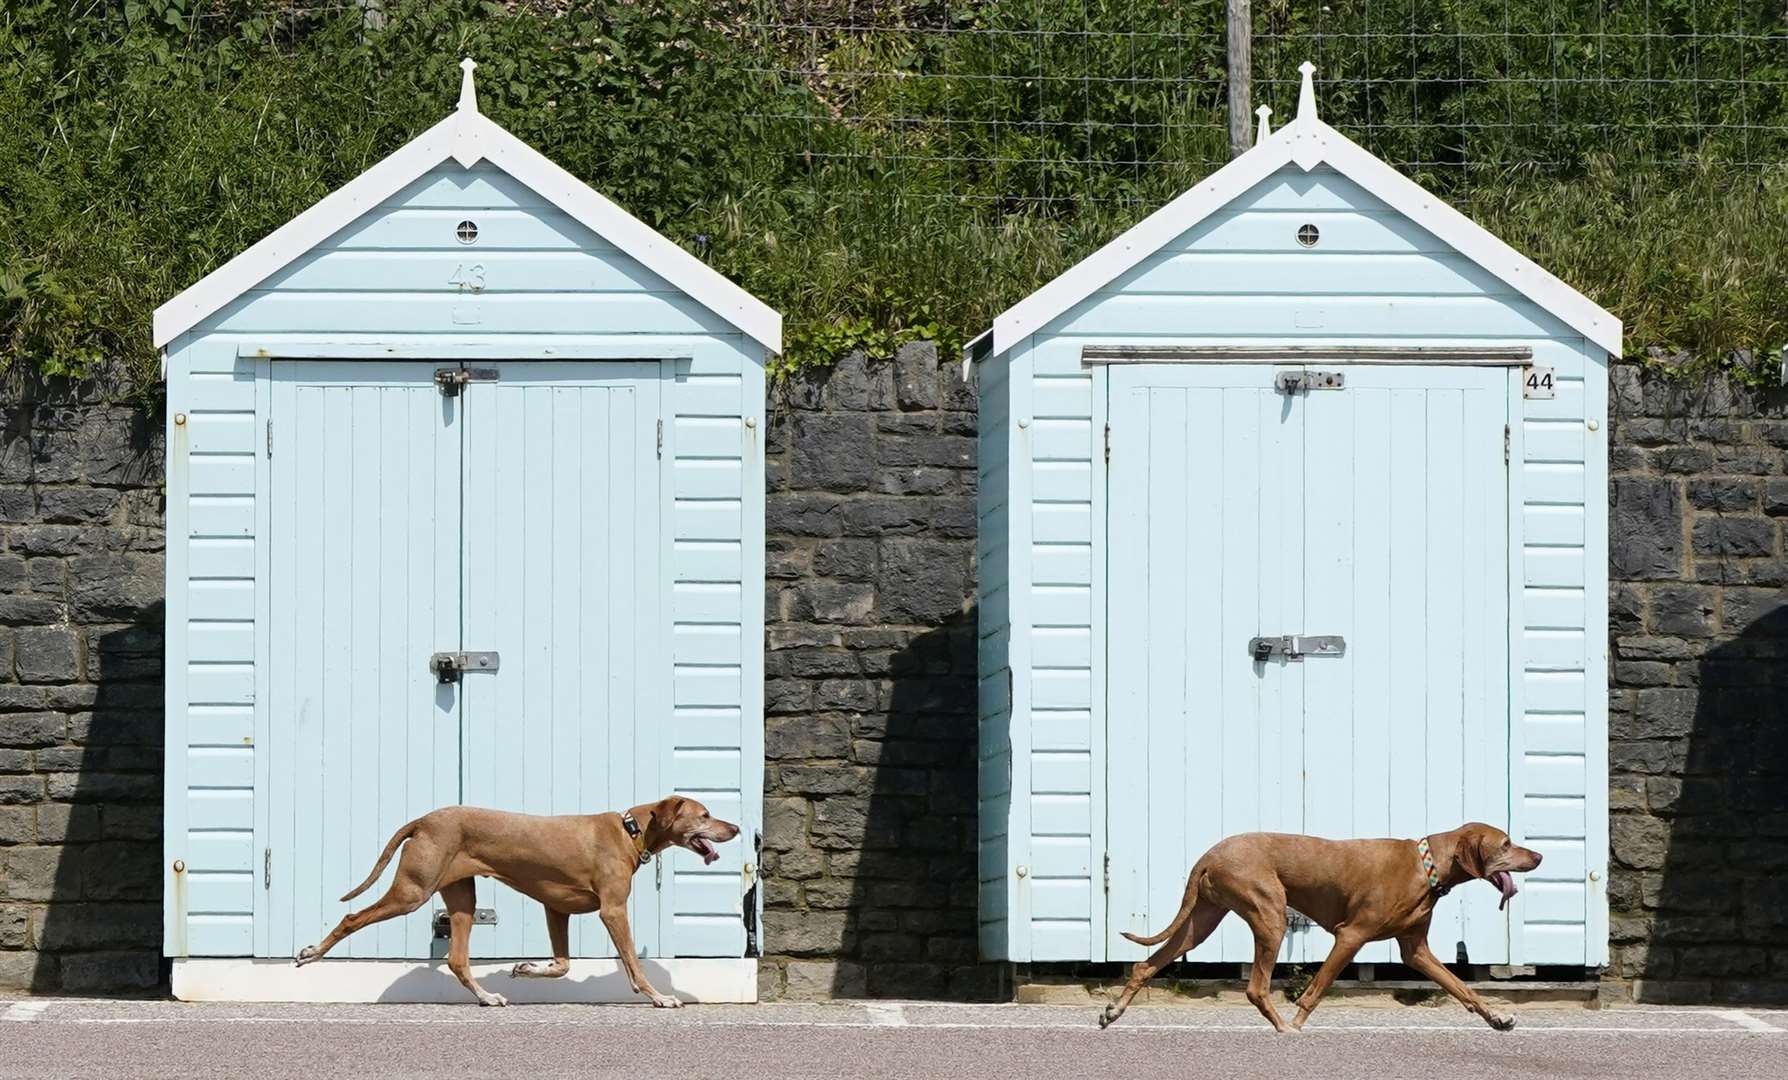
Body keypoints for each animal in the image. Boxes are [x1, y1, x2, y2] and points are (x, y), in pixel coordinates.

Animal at [295, 797, 740, 1008]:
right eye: (705, 814)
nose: (736, 828)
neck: (631, 830)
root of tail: (423, 820)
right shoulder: (612, 910)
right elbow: (632, 962)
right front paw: (660, 997)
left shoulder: (556, 908)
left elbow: (562, 965)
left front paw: (525, 968)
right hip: (412, 892)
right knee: (352, 917)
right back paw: (311, 952)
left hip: (461, 899)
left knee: (457, 959)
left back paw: (487, 997)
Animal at [1101, 822, 1537, 1037]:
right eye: (1506, 843)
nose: (1539, 856)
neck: (1426, 865)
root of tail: (1208, 854)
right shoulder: (1350, 935)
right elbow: (1317, 989)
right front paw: (1297, 1022)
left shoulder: (1417, 951)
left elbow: (1464, 989)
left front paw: (1498, 1019)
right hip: (1270, 915)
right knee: (1256, 987)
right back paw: (1282, 1028)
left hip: (1203, 920)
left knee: (1145, 965)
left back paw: (1114, 1011)